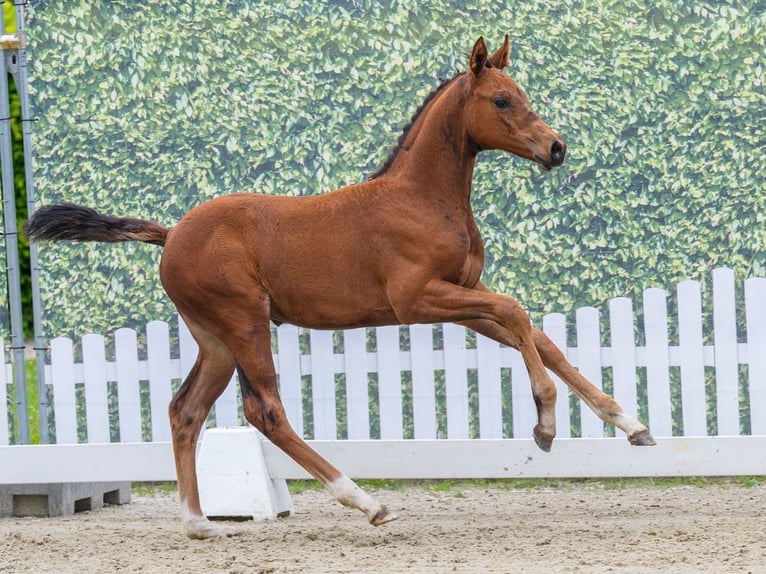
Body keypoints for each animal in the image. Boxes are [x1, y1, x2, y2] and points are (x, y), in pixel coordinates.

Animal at [27, 36, 655, 539]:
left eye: (523, 94)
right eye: (501, 101)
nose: (556, 148)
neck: (421, 198)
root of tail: (172, 232)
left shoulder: (461, 298)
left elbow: (538, 337)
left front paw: (632, 426)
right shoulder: (417, 299)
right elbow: (520, 315)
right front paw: (545, 425)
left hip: (216, 340)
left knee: (186, 411)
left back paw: (199, 524)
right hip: (244, 323)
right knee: (265, 412)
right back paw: (366, 502)